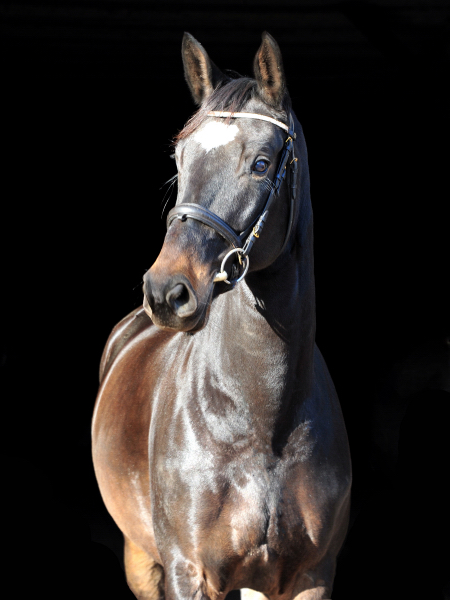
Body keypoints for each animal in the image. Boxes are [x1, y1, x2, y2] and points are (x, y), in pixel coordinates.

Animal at [91, 31, 352, 600]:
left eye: (261, 163)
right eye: (180, 158)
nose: (167, 291)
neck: (261, 418)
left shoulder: (310, 575)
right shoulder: (189, 570)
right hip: (141, 559)